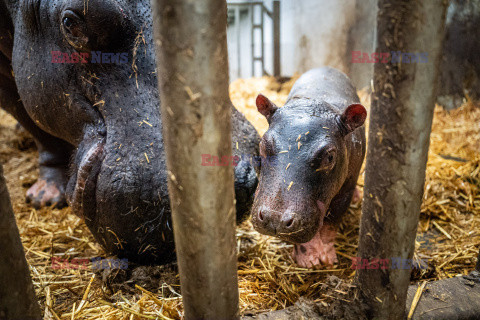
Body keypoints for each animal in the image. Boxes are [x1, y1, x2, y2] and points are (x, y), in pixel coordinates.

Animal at [253, 69, 366, 268]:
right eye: (263, 144)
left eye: (330, 156)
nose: (274, 218)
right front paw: (309, 261)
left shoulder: (347, 186)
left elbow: (332, 223)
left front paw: (327, 259)